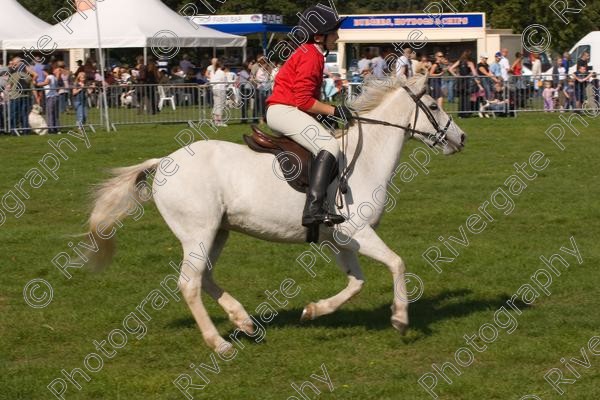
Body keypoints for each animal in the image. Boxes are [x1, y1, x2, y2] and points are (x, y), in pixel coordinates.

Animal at [84, 74, 466, 350]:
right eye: (433, 105)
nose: (460, 138)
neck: (365, 158)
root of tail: (163, 161)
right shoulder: (358, 232)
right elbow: (397, 263)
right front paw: (400, 318)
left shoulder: (339, 239)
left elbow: (356, 282)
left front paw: (313, 310)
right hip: (198, 232)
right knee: (189, 284)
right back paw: (219, 343)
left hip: (217, 232)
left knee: (204, 277)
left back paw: (245, 323)